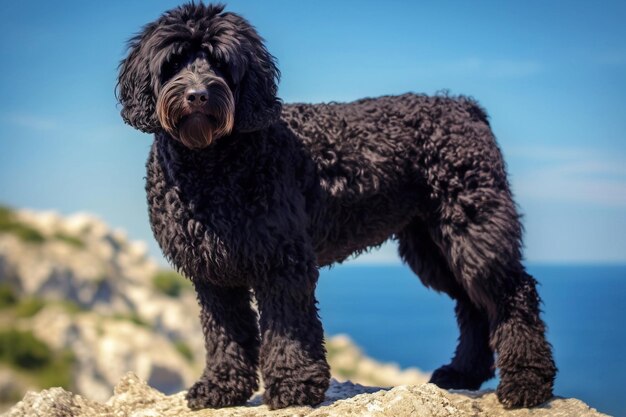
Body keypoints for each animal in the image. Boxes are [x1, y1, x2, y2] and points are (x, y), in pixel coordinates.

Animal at [117, 1, 556, 408]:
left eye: (221, 62)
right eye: (174, 61)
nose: (198, 94)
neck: (212, 163)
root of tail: (465, 107)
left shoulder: (282, 261)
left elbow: (288, 326)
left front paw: (294, 385)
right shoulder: (213, 274)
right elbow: (225, 335)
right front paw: (221, 387)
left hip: (473, 229)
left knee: (513, 295)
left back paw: (527, 382)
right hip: (434, 246)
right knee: (473, 306)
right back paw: (462, 372)